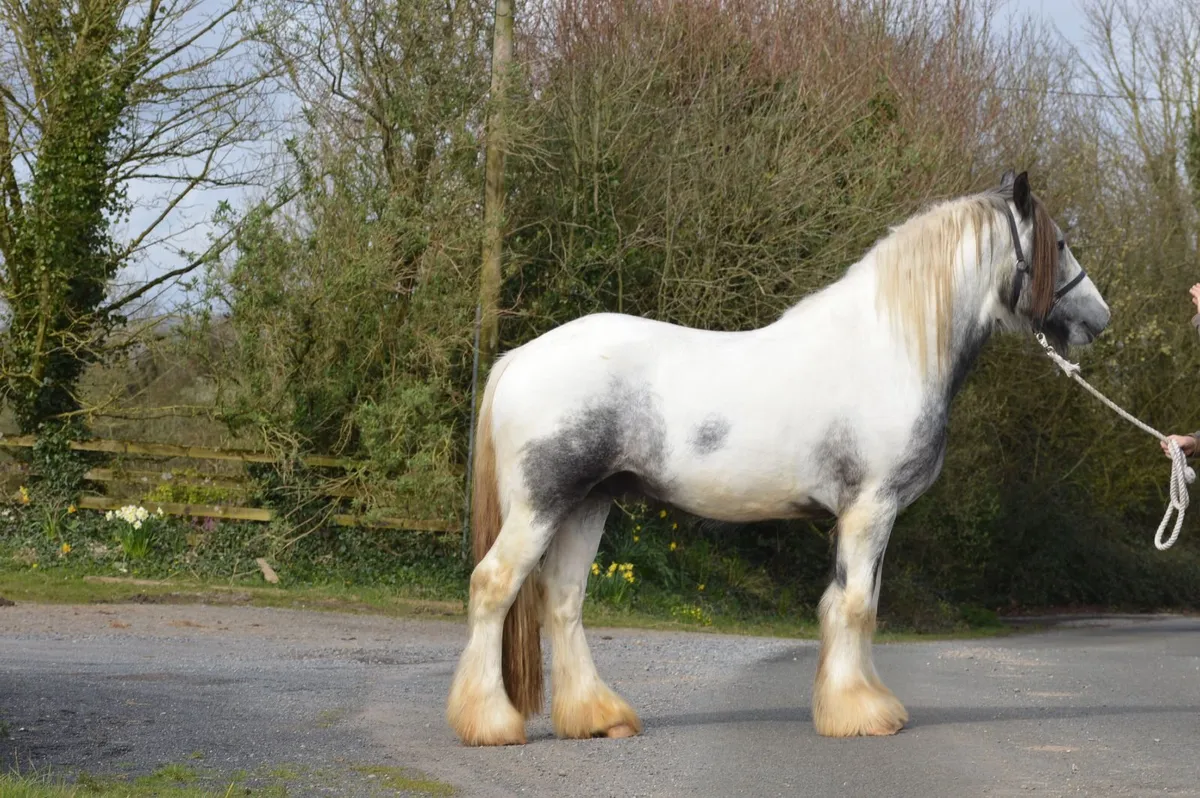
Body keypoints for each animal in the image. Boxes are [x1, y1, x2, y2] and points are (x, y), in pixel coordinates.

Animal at [446, 170, 1111, 745]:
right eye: (1058, 243)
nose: (1099, 320)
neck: (889, 350)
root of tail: (520, 358)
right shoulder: (870, 507)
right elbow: (854, 606)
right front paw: (861, 713)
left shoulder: (866, 514)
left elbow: (854, 604)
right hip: (541, 505)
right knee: (493, 585)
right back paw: (491, 722)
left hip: (588, 504)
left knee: (562, 601)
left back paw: (597, 717)